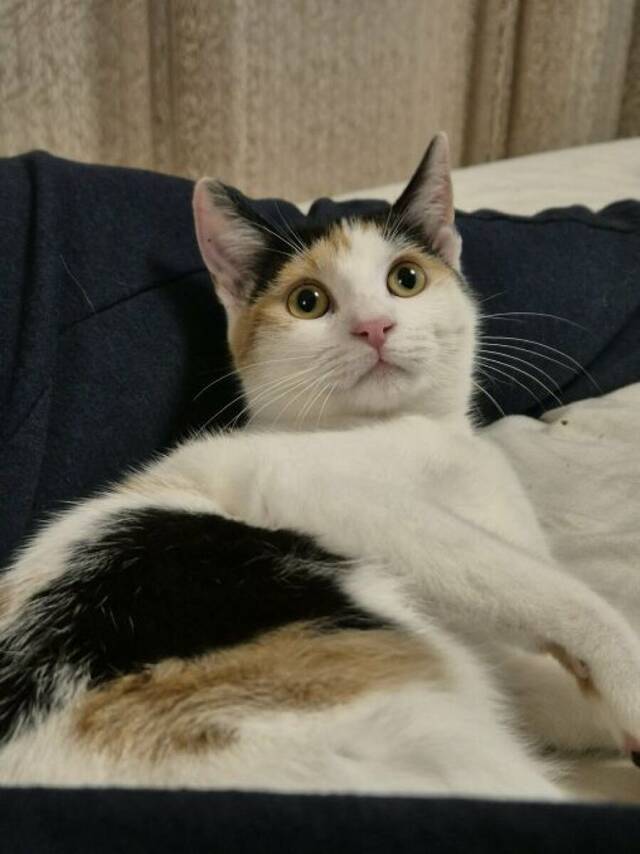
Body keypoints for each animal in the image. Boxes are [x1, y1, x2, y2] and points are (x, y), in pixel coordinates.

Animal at [0, 133, 639, 799]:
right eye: (308, 302)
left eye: (406, 279)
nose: (374, 326)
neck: (421, 431)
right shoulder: (313, 488)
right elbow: (541, 587)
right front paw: (628, 683)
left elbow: (540, 690)